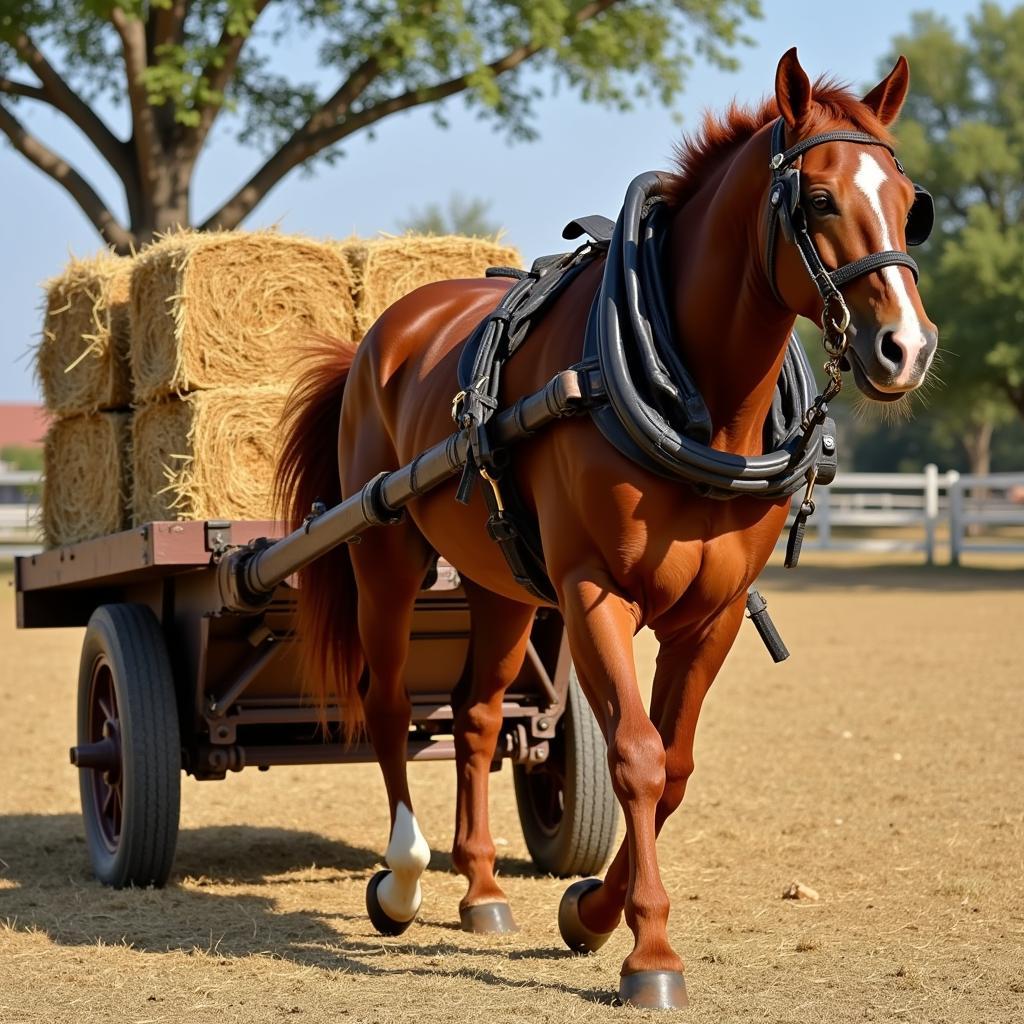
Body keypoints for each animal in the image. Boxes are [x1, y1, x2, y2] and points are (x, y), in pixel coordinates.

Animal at [278, 49, 937, 1007]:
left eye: (910, 202)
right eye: (817, 199)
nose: (907, 348)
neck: (697, 405)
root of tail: (378, 337)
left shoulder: (712, 616)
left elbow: (676, 766)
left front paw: (589, 910)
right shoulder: (596, 594)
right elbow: (636, 754)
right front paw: (648, 949)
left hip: (504, 588)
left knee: (477, 716)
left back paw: (482, 889)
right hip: (385, 555)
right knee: (390, 701)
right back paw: (402, 878)